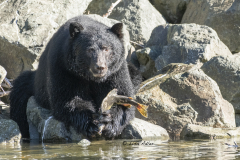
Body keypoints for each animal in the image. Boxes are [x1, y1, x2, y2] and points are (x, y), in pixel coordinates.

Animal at [9, 15, 142, 139]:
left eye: (106, 48)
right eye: (89, 50)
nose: (100, 67)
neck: (91, 78)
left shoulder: (116, 71)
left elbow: (123, 95)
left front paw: (109, 122)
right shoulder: (63, 68)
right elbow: (68, 99)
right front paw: (91, 123)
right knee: (18, 103)